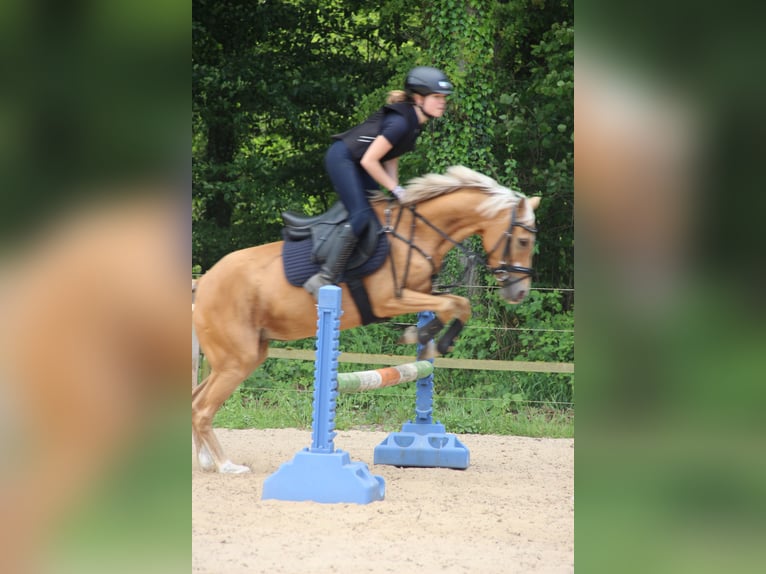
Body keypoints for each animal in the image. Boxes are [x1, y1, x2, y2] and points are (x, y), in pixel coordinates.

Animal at [192, 165, 540, 472]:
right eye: (523, 241)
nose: (519, 292)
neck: (418, 233)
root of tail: (203, 282)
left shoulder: (420, 293)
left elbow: (457, 304)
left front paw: (428, 338)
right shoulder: (391, 299)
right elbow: (454, 304)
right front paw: (428, 338)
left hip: (244, 356)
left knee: (197, 401)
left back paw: (206, 462)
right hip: (237, 359)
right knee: (202, 408)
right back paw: (226, 466)